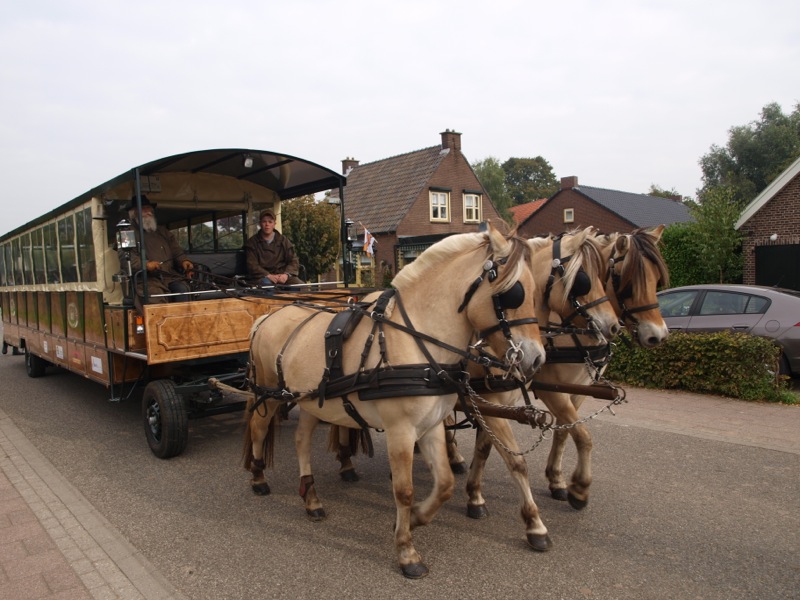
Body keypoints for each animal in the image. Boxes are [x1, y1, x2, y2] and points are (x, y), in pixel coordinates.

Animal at [242, 224, 544, 576]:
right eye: (513, 293)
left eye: (535, 293)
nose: (537, 359)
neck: (415, 339)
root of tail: (267, 318)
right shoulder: (401, 431)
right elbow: (404, 490)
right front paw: (406, 551)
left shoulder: (431, 426)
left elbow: (444, 484)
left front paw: (414, 519)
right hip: (270, 393)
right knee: (259, 427)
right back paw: (259, 477)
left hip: (313, 402)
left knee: (302, 439)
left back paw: (312, 498)